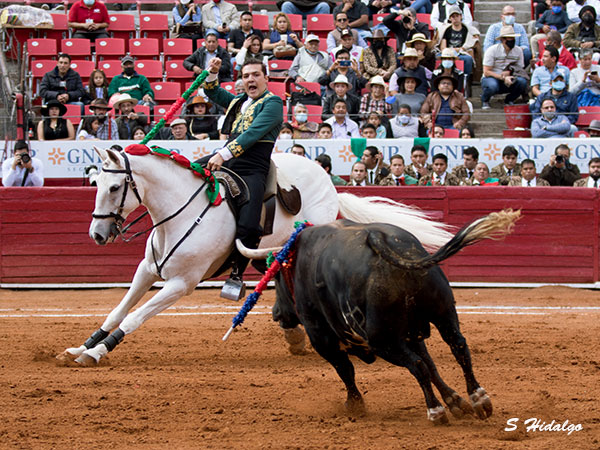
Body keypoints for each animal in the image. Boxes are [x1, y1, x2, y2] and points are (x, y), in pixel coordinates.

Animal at [57, 146, 454, 366]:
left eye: (114, 187)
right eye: (94, 184)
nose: (97, 234)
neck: (179, 211)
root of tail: (328, 180)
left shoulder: (181, 284)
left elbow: (135, 316)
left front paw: (98, 352)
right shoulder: (148, 270)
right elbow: (118, 310)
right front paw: (81, 346)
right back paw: (293, 332)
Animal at [238, 210, 519, 424]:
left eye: (276, 277)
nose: (276, 314)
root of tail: (381, 239)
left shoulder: (322, 338)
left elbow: (345, 370)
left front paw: (354, 405)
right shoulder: (412, 334)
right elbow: (432, 365)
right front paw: (456, 402)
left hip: (382, 340)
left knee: (416, 365)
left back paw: (435, 411)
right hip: (443, 313)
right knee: (457, 347)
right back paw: (479, 399)